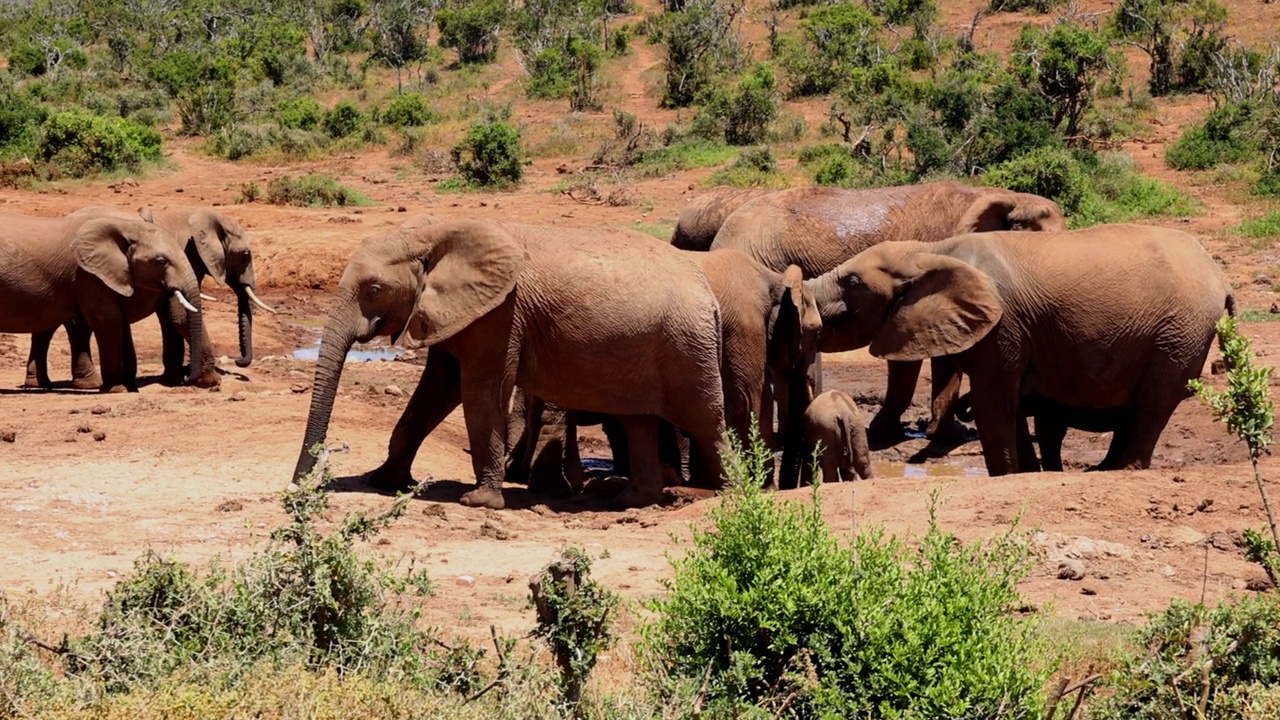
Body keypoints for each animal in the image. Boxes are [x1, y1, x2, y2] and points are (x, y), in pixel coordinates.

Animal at [0, 207, 203, 392]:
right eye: (161, 261)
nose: (186, 377)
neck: (125, 226)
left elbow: (120, 320)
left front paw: (127, 386)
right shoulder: (87, 275)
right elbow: (108, 320)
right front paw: (117, 389)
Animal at [24, 204, 271, 389]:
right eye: (246, 255)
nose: (239, 362)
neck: (197, 215)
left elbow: (170, 319)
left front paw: (172, 379)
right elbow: (180, 316)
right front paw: (209, 381)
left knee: (48, 326)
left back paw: (40, 384)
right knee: (79, 327)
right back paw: (89, 384)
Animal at [293, 215, 727, 507]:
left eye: (375, 289)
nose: (298, 486)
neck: (433, 233)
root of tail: (708, 293)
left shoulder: (500, 314)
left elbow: (479, 392)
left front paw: (479, 502)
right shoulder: (456, 312)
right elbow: (436, 391)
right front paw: (382, 480)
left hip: (686, 346)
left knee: (706, 421)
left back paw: (726, 492)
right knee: (639, 422)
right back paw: (630, 500)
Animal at [803, 221, 1233, 474]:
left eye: (853, 283)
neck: (930, 249)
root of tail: (1221, 277)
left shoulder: (1003, 325)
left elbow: (995, 403)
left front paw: (1007, 475)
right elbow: (1011, 407)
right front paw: (1028, 473)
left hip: (1178, 337)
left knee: (1152, 407)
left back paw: (1122, 470)